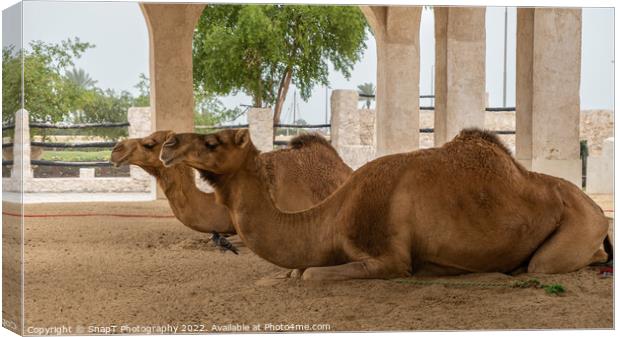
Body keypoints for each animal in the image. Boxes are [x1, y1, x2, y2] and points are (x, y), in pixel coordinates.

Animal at [159, 127, 612, 280]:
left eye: (213, 142)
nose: (168, 143)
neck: (333, 216)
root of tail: (595, 208)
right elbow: (299, 269)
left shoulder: (389, 258)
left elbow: (310, 275)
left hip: (577, 228)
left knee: (547, 264)